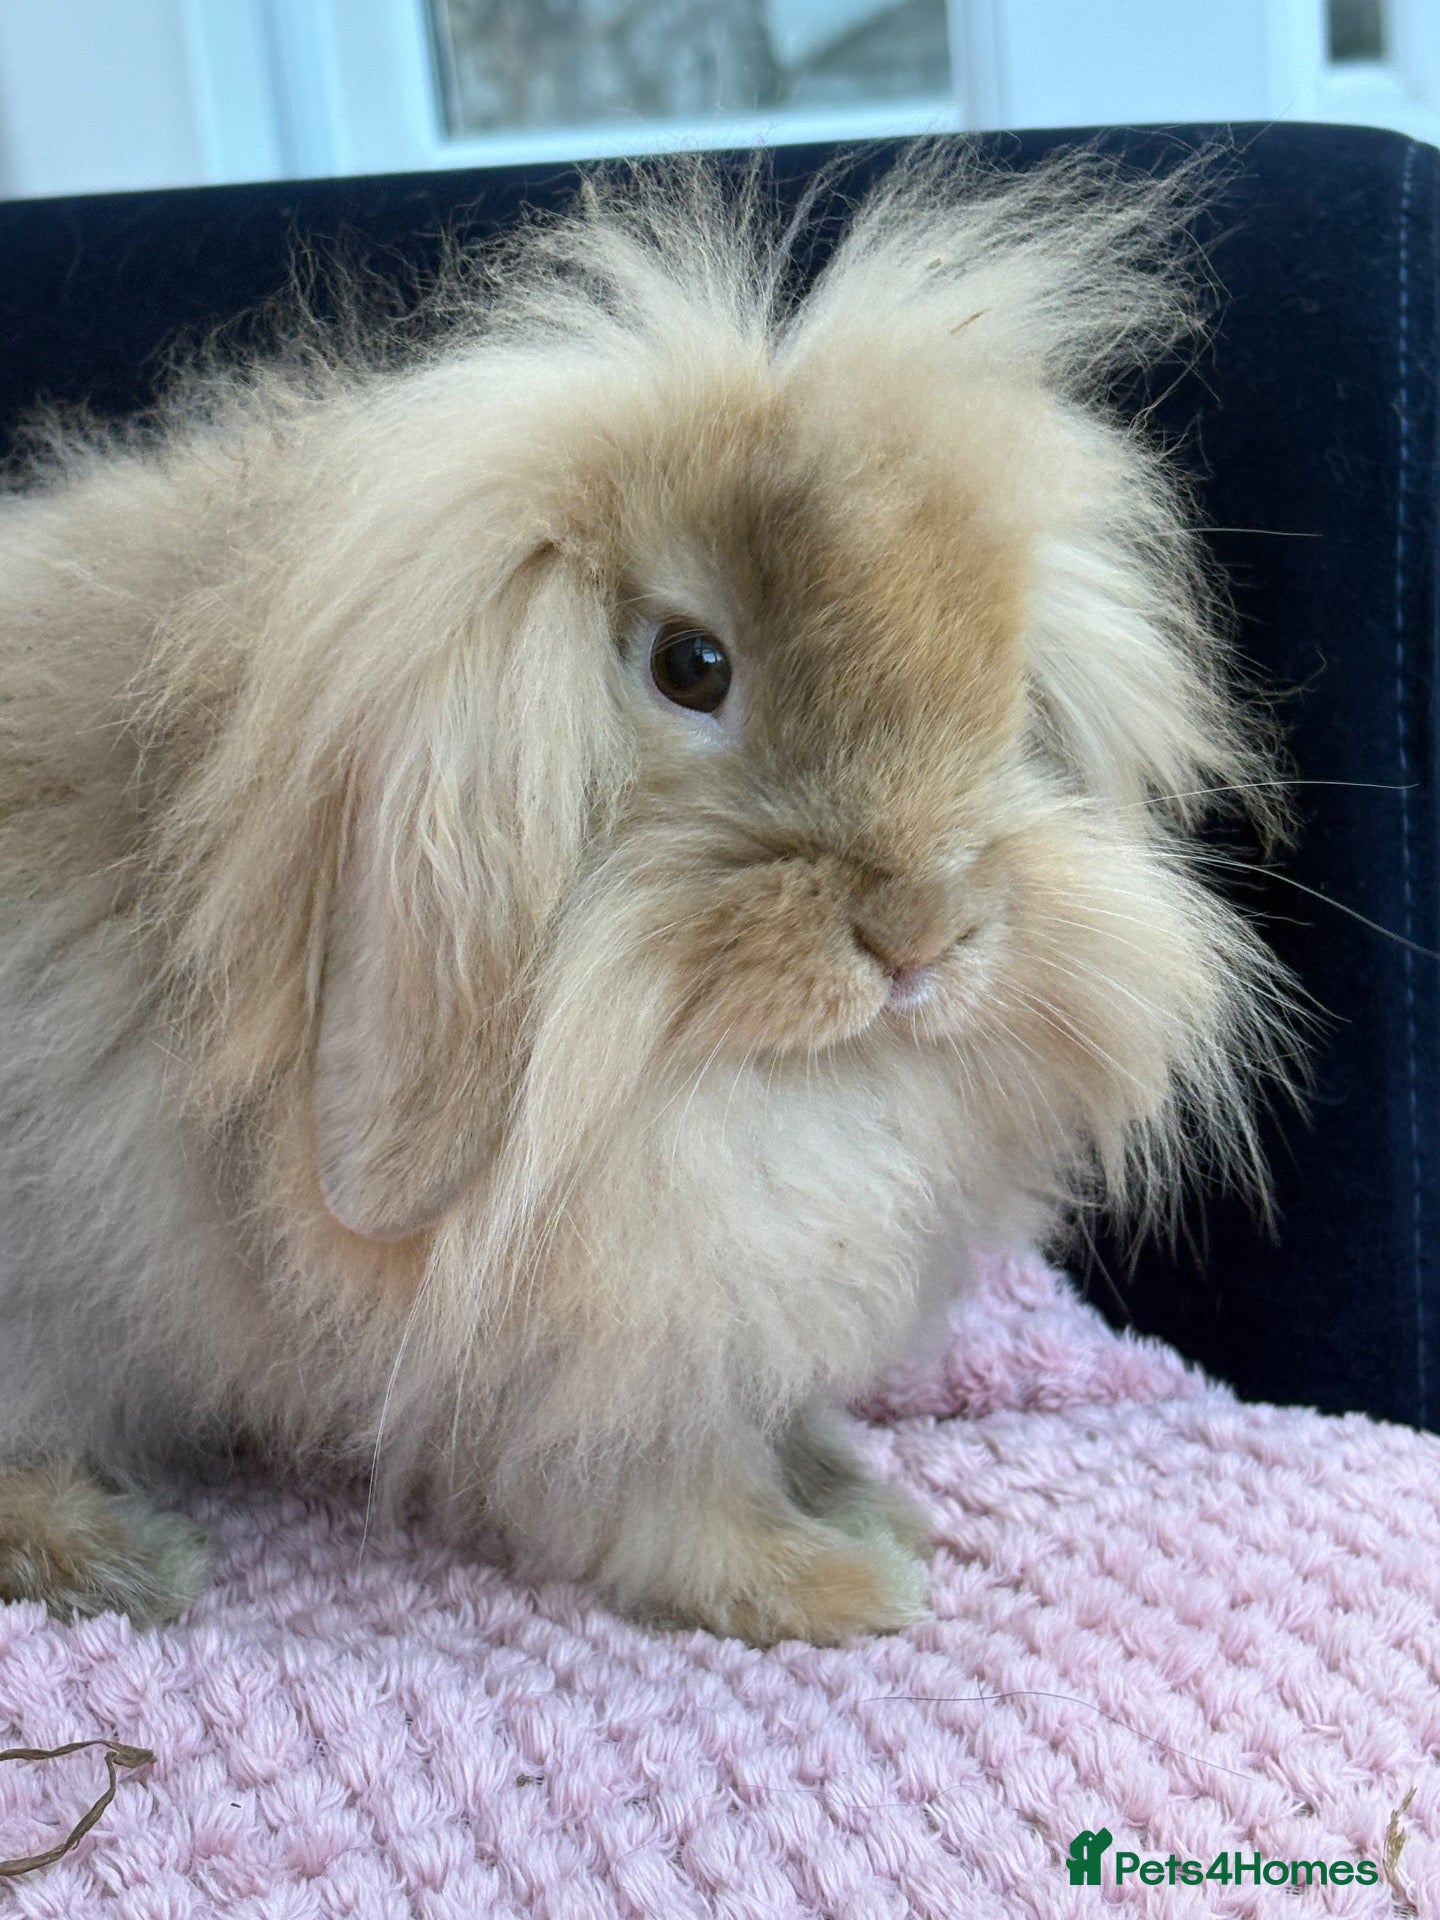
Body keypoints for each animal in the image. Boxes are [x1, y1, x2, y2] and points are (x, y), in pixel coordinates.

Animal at [0, 150, 1295, 1645]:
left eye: (1013, 684)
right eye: (690, 665)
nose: (924, 932)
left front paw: (865, 1496)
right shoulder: (591, 1356)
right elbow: (665, 1503)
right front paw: (840, 1587)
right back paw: (122, 1561)